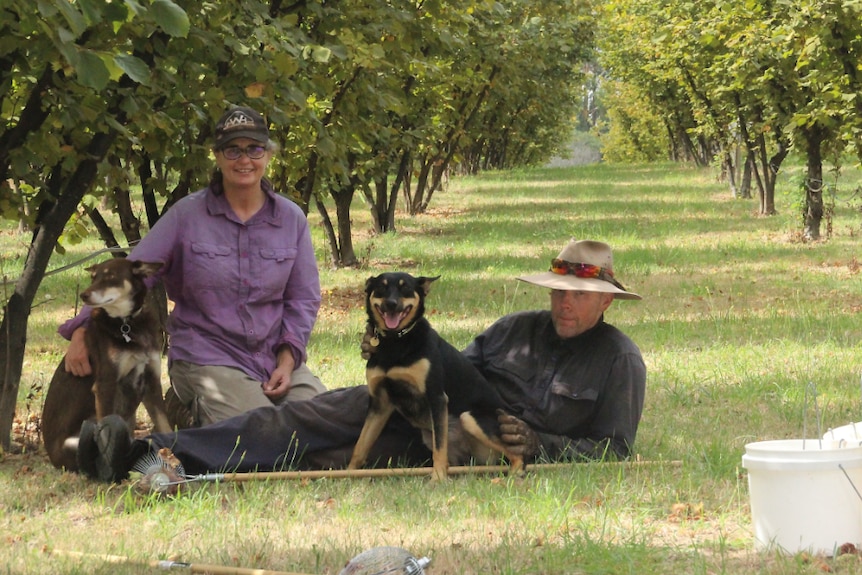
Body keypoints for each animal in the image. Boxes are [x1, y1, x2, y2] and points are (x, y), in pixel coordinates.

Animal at [42, 260, 172, 472]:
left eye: (111, 277)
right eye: (93, 278)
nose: (84, 295)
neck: (127, 324)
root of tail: (53, 460)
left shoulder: (151, 380)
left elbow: (165, 425)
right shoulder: (106, 385)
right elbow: (105, 433)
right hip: (77, 441)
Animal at [348, 272, 524, 480]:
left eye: (406, 288)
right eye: (381, 287)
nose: (391, 304)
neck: (395, 341)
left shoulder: (436, 397)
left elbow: (440, 448)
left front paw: (438, 477)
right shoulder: (379, 403)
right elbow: (360, 445)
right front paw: (348, 473)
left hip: (471, 418)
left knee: (518, 457)